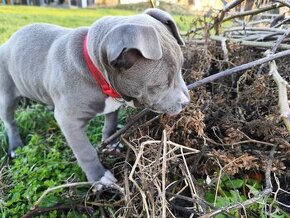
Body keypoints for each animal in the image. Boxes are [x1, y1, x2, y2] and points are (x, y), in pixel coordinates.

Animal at [0, 8, 190, 186]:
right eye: (160, 85)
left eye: (181, 68)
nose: (187, 102)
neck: (93, 67)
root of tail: (8, 42)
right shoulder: (69, 121)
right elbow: (86, 151)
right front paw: (99, 177)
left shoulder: (113, 104)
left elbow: (110, 124)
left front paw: (111, 143)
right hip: (6, 95)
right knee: (10, 122)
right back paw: (15, 146)